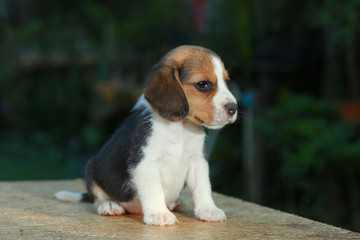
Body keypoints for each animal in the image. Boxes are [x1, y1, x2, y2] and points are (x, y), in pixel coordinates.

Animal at [54, 44, 238, 225]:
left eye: (226, 82)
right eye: (203, 84)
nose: (233, 108)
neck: (180, 127)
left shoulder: (197, 161)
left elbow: (203, 187)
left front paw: (209, 209)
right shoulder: (145, 163)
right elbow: (154, 190)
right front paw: (159, 214)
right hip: (91, 169)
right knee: (97, 200)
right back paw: (110, 206)